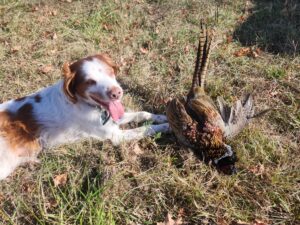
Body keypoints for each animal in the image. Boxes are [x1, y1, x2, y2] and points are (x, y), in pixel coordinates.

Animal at [0, 53, 169, 180]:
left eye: (110, 72)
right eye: (90, 82)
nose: (117, 93)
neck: (87, 105)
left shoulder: (113, 118)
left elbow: (142, 114)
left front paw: (162, 117)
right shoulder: (115, 136)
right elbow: (146, 129)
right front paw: (167, 126)